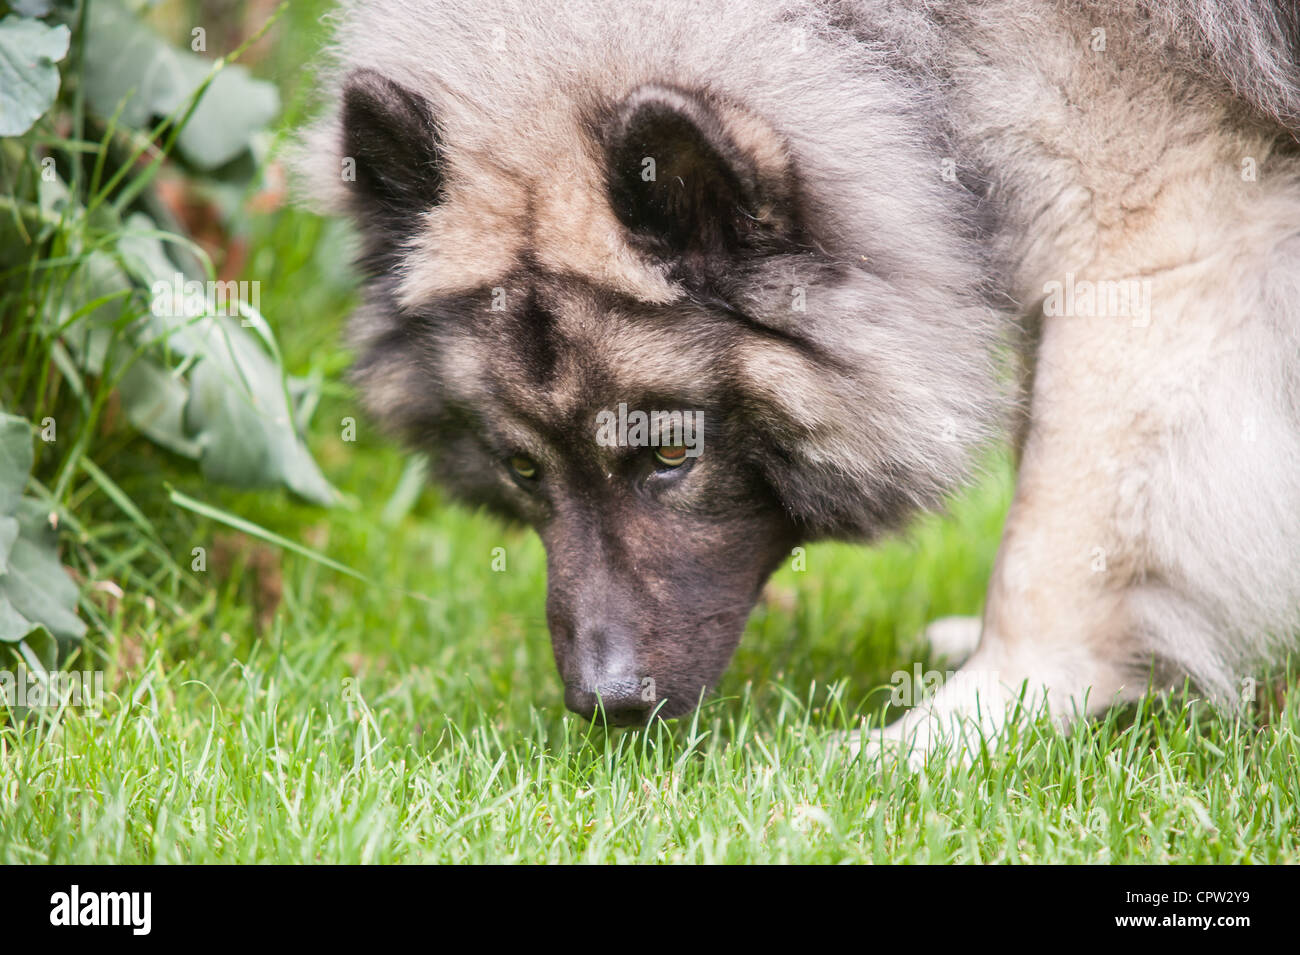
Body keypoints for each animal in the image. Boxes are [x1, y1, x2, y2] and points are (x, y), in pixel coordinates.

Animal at [292, 0, 1300, 758]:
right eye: (524, 469)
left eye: (671, 455)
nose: (606, 700)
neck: (899, 33)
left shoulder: (1149, 230)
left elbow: (1052, 540)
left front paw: (959, 726)